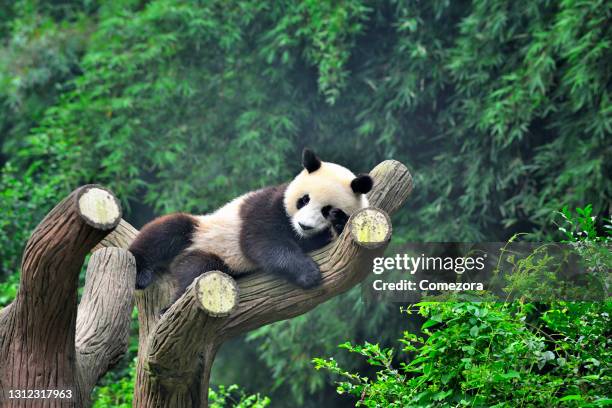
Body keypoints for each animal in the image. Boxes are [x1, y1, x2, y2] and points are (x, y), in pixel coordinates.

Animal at [129, 148, 372, 308]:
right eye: (304, 200)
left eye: (326, 209)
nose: (304, 225)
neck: (296, 231)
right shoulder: (266, 206)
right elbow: (262, 242)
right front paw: (308, 273)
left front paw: (338, 222)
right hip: (202, 231)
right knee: (166, 232)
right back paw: (145, 277)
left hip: (213, 258)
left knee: (197, 268)